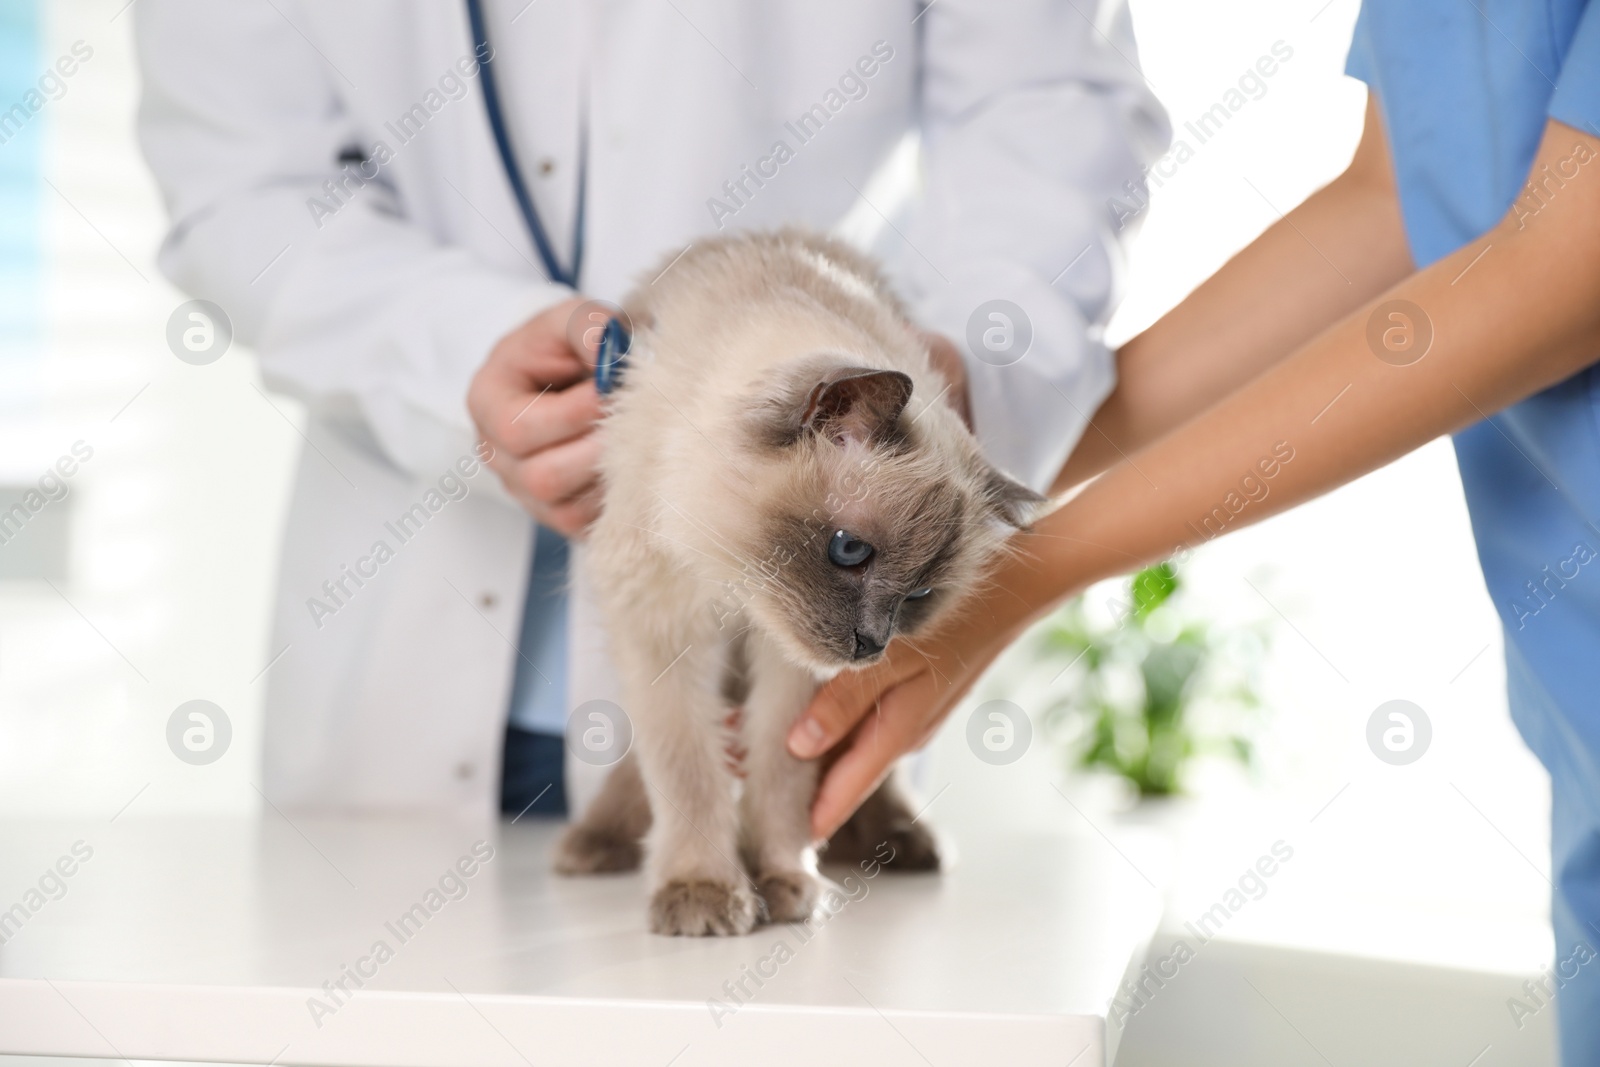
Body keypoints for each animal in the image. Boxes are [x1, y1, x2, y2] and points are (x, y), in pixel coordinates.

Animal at [556, 227, 1043, 934]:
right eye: (850, 551)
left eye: (919, 597)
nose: (872, 645)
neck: (735, 587)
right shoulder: (663, 627)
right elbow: (685, 770)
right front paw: (705, 891)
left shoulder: (794, 671)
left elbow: (782, 777)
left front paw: (782, 883)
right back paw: (595, 844)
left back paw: (895, 842)